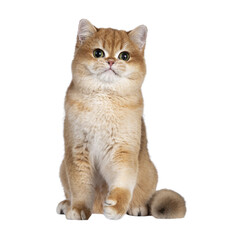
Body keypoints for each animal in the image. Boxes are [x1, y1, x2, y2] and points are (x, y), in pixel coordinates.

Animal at [56, 19, 186, 220]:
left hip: (149, 171)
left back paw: (137, 207)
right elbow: (80, 186)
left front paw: (117, 206)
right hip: (63, 168)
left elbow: (123, 183)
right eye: (98, 53)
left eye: (124, 56)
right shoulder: (77, 151)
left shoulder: (122, 151)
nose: (111, 61)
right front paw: (78, 208)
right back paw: (66, 204)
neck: (104, 99)